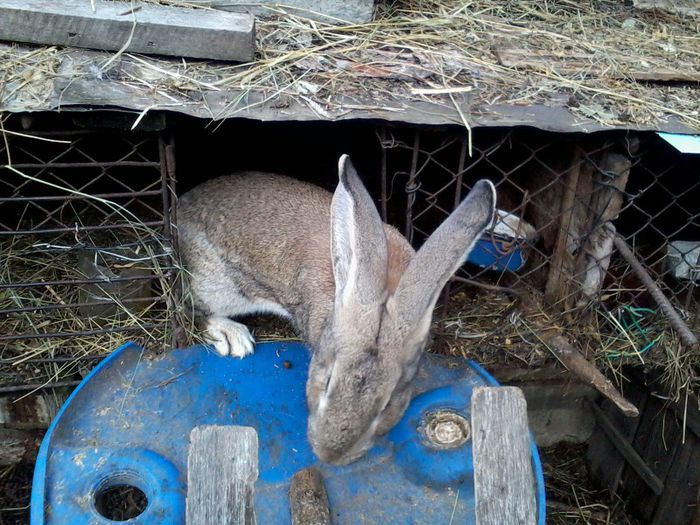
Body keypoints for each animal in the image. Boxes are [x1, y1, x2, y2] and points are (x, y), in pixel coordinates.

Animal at [178, 155, 494, 462]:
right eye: (328, 380)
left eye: (387, 404)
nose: (329, 455)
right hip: (219, 287)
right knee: (192, 308)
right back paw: (233, 337)